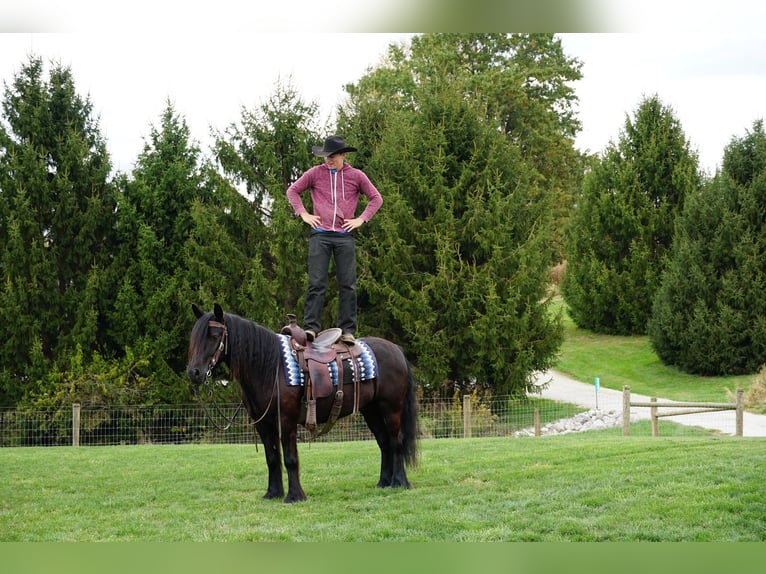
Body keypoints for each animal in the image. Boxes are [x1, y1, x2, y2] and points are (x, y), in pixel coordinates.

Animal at [186, 303, 418, 503]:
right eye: (194, 336)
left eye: (214, 335)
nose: (194, 373)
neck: (270, 367)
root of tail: (396, 350)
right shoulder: (263, 423)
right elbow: (272, 458)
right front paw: (273, 493)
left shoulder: (286, 420)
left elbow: (290, 458)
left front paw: (294, 496)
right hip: (371, 411)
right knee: (384, 443)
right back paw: (383, 482)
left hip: (391, 409)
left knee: (396, 441)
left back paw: (400, 482)